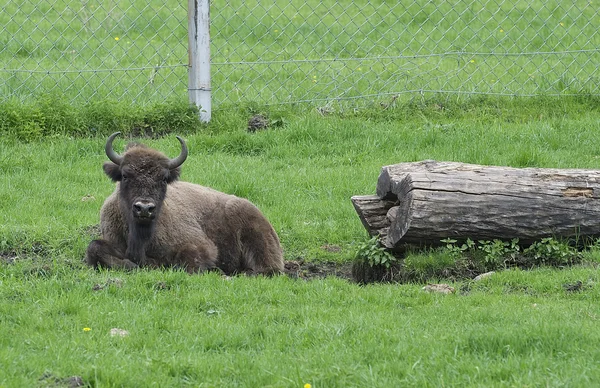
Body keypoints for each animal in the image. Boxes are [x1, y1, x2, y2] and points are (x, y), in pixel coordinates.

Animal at [86, 132, 286, 274]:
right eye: (125, 175)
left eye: (163, 178)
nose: (144, 208)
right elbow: (94, 248)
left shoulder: (200, 245)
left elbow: (186, 261)